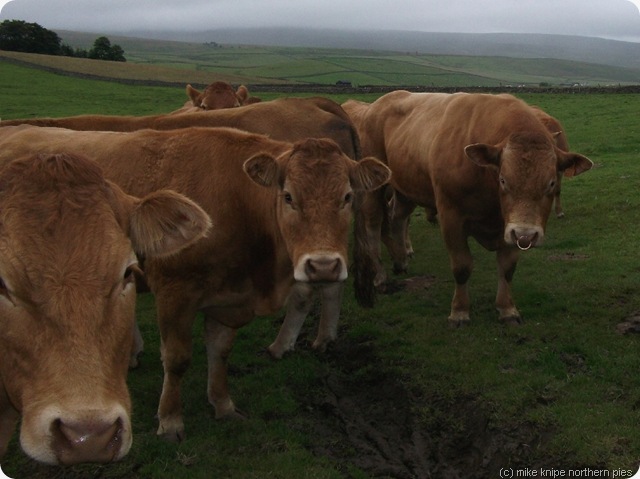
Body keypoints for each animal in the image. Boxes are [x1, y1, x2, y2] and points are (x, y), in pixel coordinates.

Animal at [342, 91, 592, 326]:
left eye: (551, 183)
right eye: (503, 180)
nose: (527, 235)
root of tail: (376, 105)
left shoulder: (509, 227)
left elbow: (507, 268)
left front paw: (507, 309)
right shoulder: (451, 217)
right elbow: (461, 267)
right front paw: (459, 312)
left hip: (405, 187)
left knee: (398, 217)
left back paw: (401, 259)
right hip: (374, 189)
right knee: (373, 225)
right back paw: (380, 276)